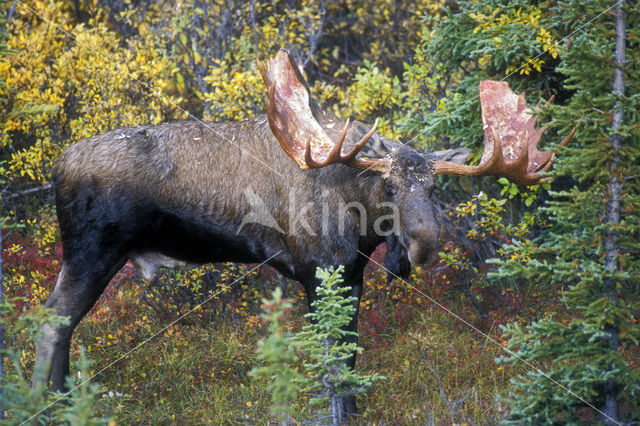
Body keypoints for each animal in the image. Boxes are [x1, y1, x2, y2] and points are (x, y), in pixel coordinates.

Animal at [33, 50, 568, 420]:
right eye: (389, 185)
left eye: (434, 187)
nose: (423, 244)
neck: (358, 214)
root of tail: (57, 166)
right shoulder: (318, 270)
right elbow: (330, 359)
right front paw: (336, 413)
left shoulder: (351, 273)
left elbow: (351, 352)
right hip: (91, 251)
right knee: (52, 320)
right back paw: (45, 403)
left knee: (61, 322)